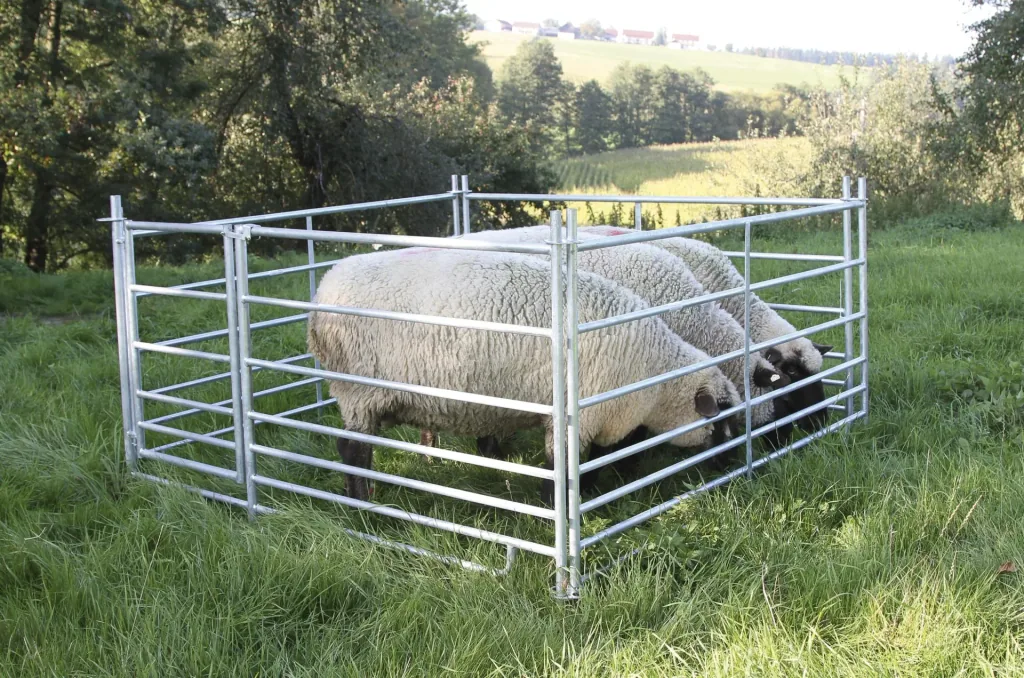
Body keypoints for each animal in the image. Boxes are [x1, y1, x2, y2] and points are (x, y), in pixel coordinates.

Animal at [308, 248, 740, 503]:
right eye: (723, 419)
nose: (732, 467)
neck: (655, 374)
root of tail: (322, 291)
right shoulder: (579, 415)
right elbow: (562, 469)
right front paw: (562, 507)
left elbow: (600, 457)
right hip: (359, 391)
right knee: (352, 450)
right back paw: (361, 505)